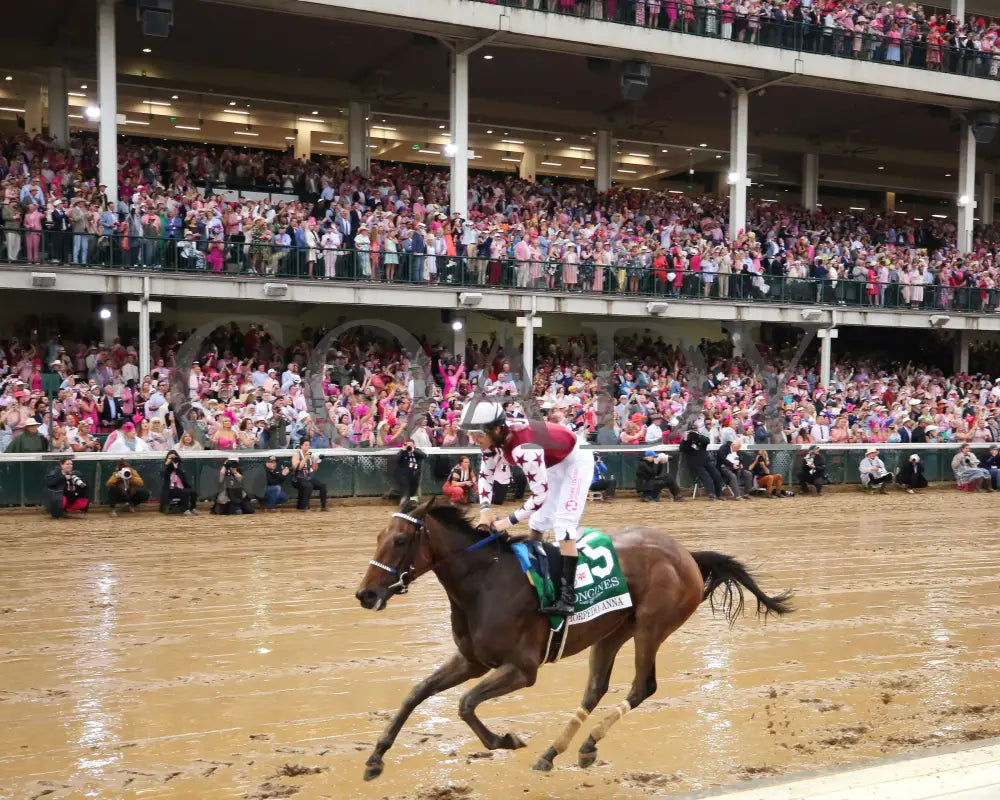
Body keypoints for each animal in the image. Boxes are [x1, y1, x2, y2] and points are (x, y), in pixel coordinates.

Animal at [352, 500, 788, 780]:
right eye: (378, 536)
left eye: (401, 541)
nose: (366, 595)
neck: (485, 581)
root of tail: (686, 554)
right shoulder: (472, 659)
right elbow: (417, 692)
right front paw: (375, 757)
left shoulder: (522, 669)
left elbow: (465, 703)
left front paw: (504, 739)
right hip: (612, 631)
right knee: (595, 689)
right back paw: (552, 753)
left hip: (651, 626)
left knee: (643, 686)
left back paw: (588, 743)